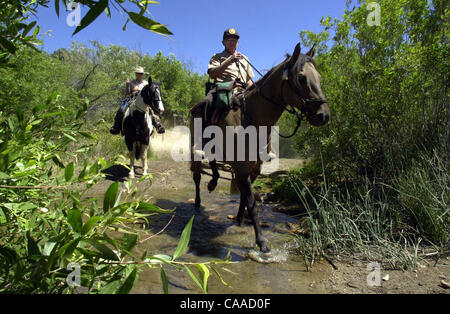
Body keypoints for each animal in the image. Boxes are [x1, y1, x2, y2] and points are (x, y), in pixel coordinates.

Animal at [190, 43, 330, 253]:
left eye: (319, 78)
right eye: (301, 78)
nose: (323, 115)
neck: (251, 118)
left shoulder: (254, 168)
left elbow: (244, 198)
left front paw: (240, 220)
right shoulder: (241, 168)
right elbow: (251, 202)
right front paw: (261, 241)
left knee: (213, 162)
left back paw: (213, 182)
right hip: (196, 152)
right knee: (197, 177)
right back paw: (199, 200)